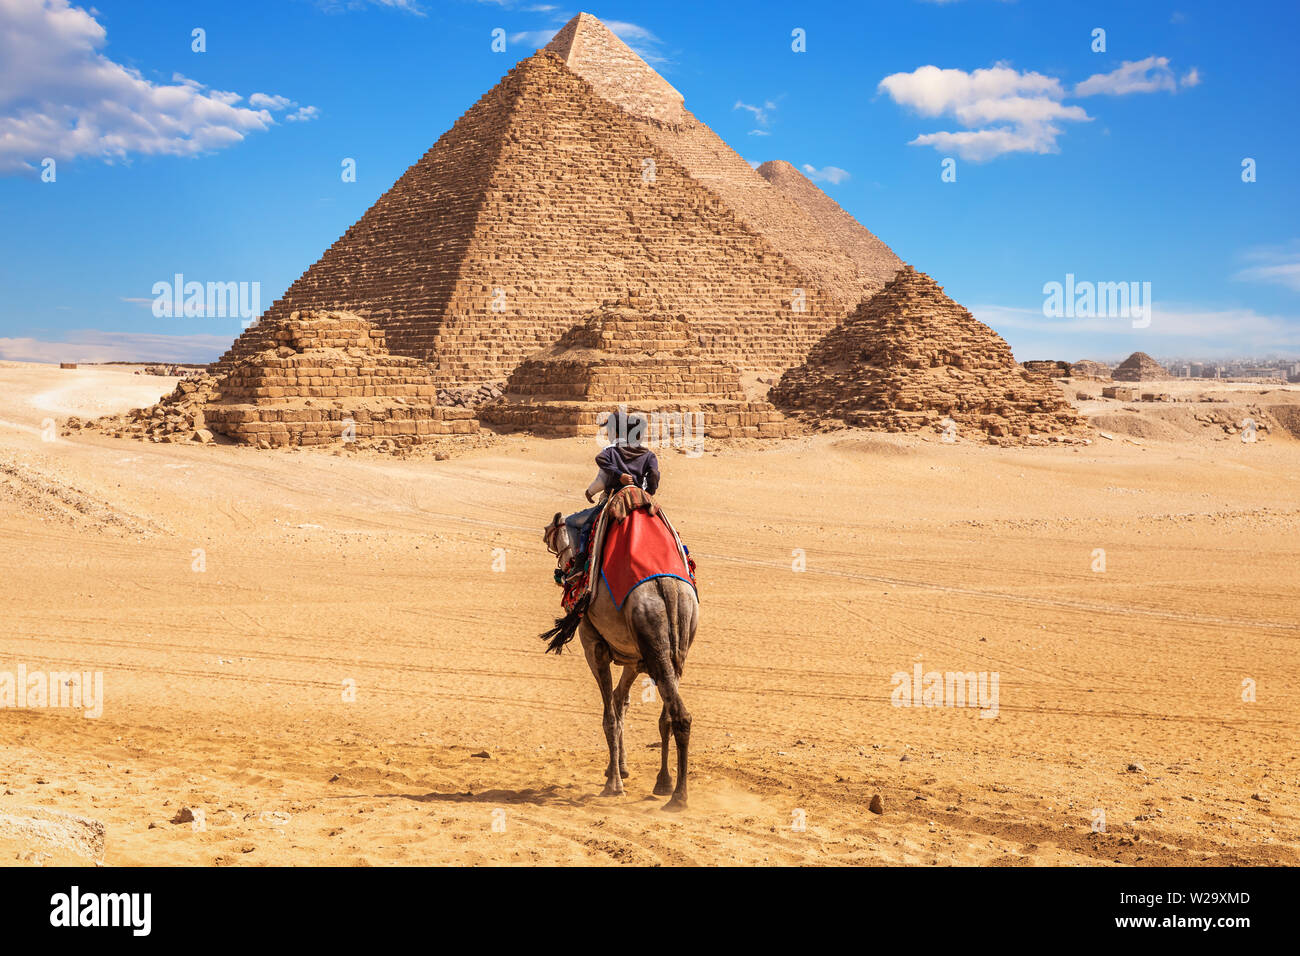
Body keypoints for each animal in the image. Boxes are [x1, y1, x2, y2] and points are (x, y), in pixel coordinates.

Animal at [540, 512, 702, 811]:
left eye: (554, 542)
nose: (563, 575)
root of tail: (668, 587)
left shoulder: (595, 646)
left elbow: (610, 716)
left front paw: (614, 785)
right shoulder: (634, 659)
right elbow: (620, 702)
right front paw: (621, 770)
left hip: (651, 639)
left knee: (679, 715)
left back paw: (678, 797)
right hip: (678, 647)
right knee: (669, 715)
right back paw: (666, 784)